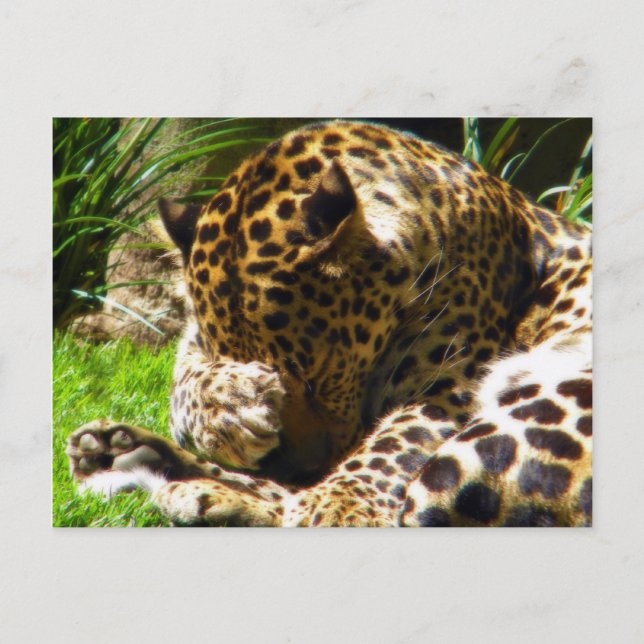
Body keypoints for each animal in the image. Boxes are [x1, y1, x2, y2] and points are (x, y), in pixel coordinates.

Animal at [66, 120, 592, 527]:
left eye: (318, 376)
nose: (298, 468)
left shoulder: (448, 385)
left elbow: (395, 440)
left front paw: (338, 502)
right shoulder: (193, 342)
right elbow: (185, 384)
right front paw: (230, 404)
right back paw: (123, 454)